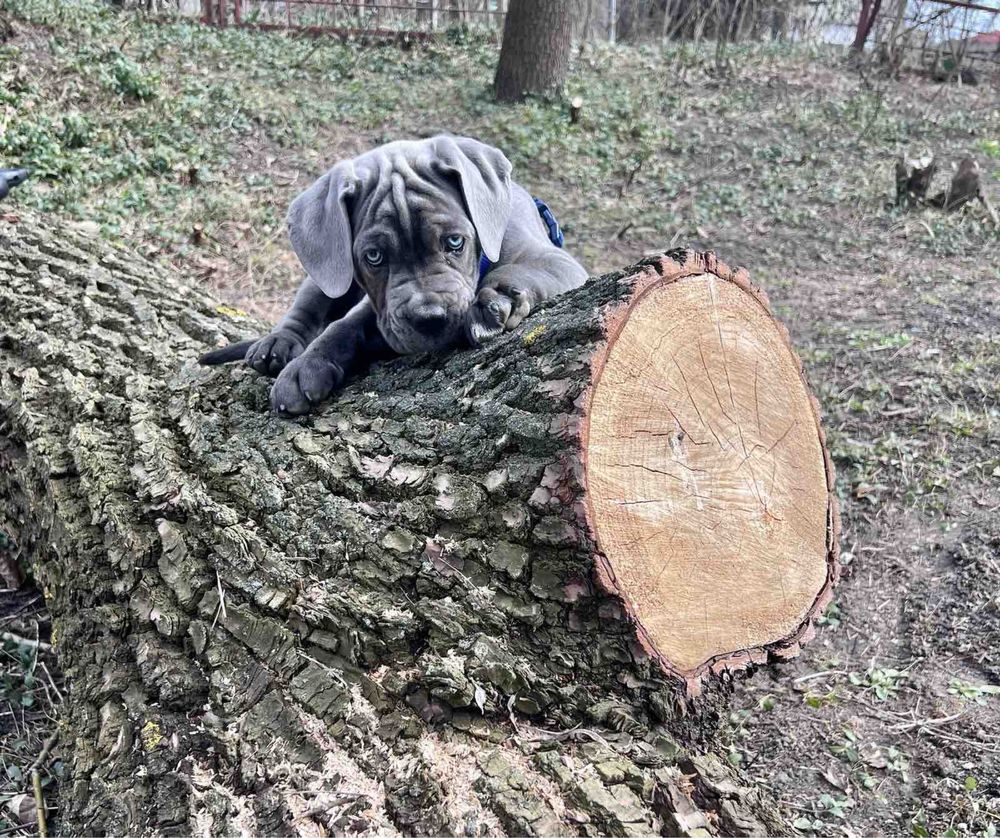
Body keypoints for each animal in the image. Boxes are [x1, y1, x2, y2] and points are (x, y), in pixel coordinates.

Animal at [202, 134, 588, 416]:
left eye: (454, 241)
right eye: (374, 257)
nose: (430, 319)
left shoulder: (556, 262)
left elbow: (523, 270)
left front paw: (498, 297)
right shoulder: (383, 315)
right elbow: (342, 326)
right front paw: (304, 366)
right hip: (324, 276)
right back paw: (278, 344)